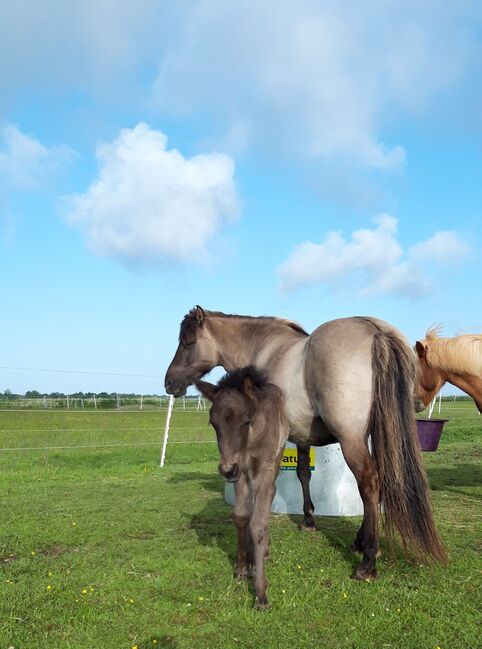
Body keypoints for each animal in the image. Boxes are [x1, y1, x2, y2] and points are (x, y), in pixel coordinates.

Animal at [167, 308, 448, 576]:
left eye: (188, 342)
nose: (169, 382)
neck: (264, 350)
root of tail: (375, 330)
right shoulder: (302, 436)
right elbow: (303, 473)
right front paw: (308, 519)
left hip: (351, 439)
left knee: (369, 483)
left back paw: (368, 561)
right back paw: (361, 542)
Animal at [196, 368, 290, 612]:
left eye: (246, 421)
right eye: (213, 423)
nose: (226, 470)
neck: (250, 442)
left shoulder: (262, 469)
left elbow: (258, 524)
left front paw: (261, 594)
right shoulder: (240, 472)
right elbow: (240, 515)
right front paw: (241, 567)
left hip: (276, 459)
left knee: (270, 495)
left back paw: (263, 553)